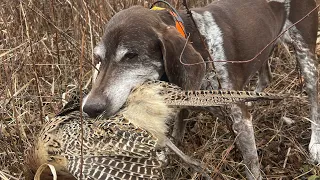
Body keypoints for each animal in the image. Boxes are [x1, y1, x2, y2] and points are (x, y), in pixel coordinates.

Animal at [82, 0, 318, 179]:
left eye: (131, 55)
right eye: (99, 58)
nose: (90, 108)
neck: (195, 38)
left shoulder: (239, 118)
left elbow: (251, 162)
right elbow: (176, 131)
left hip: (306, 57)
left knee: (314, 100)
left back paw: (315, 144)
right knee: (266, 77)